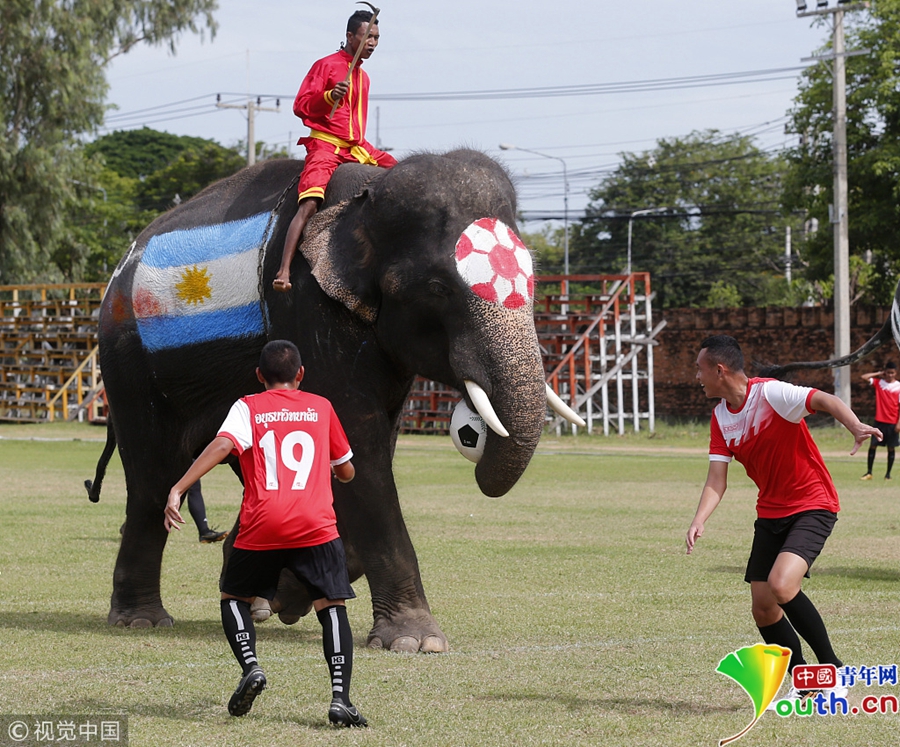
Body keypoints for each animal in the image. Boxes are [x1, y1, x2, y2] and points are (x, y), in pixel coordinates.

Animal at [88, 149, 584, 652]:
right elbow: (359, 446)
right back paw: (141, 620)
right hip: (128, 361)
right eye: (438, 288)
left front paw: (289, 592)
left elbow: (359, 453)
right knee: (154, 477)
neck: (368, 193)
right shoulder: (307, 305)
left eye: (534, 280)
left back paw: (250, 594)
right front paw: (415, 641)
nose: (476, 446)